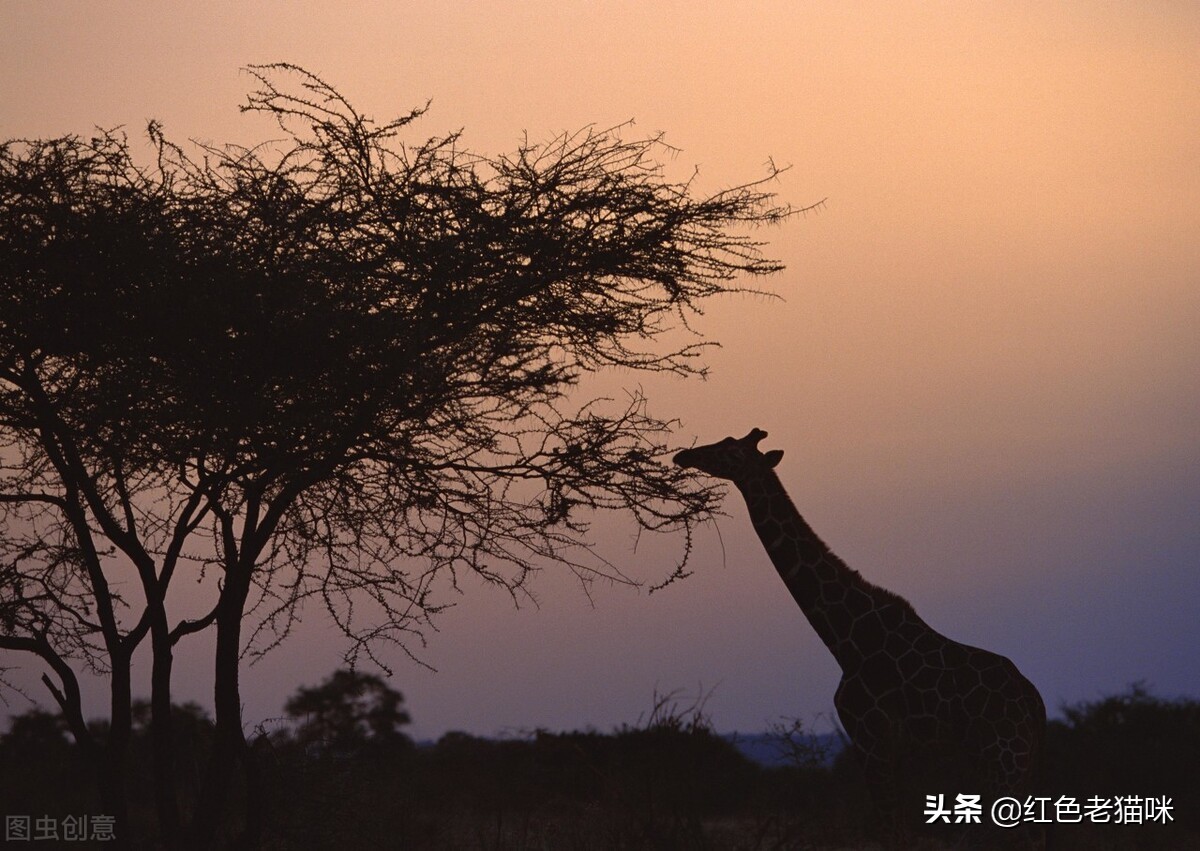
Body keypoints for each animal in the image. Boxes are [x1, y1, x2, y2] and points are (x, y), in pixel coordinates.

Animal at [672, 427, 1046, 840]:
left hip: (1003, 760)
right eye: (724, 441)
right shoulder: (897, 754)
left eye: (733, 453)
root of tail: (1033, 702)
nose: (684, 455)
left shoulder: (871, 739)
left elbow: (888, 831)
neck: (843, 639)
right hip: (1020, 768)